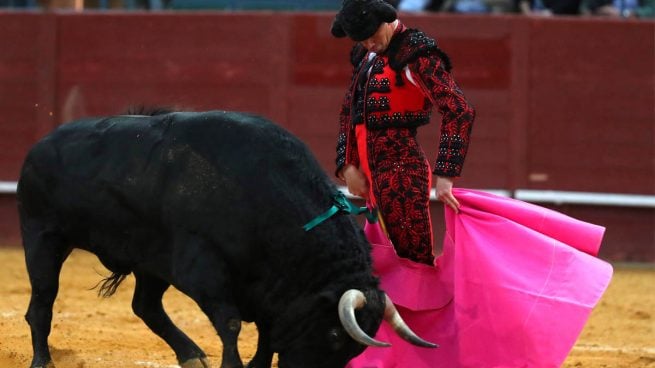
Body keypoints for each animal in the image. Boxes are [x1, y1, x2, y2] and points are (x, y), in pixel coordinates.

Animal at [16, 110, 436, 368]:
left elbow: (266, 330)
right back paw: (42, 360)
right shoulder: (204, 268)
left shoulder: (268, 289)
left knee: (146, 306)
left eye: (354, 348)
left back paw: (191, 355)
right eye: (334, 333)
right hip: (43, 237)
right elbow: (232, 323)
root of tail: (40, 146)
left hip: (149, 261)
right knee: (42, 303)